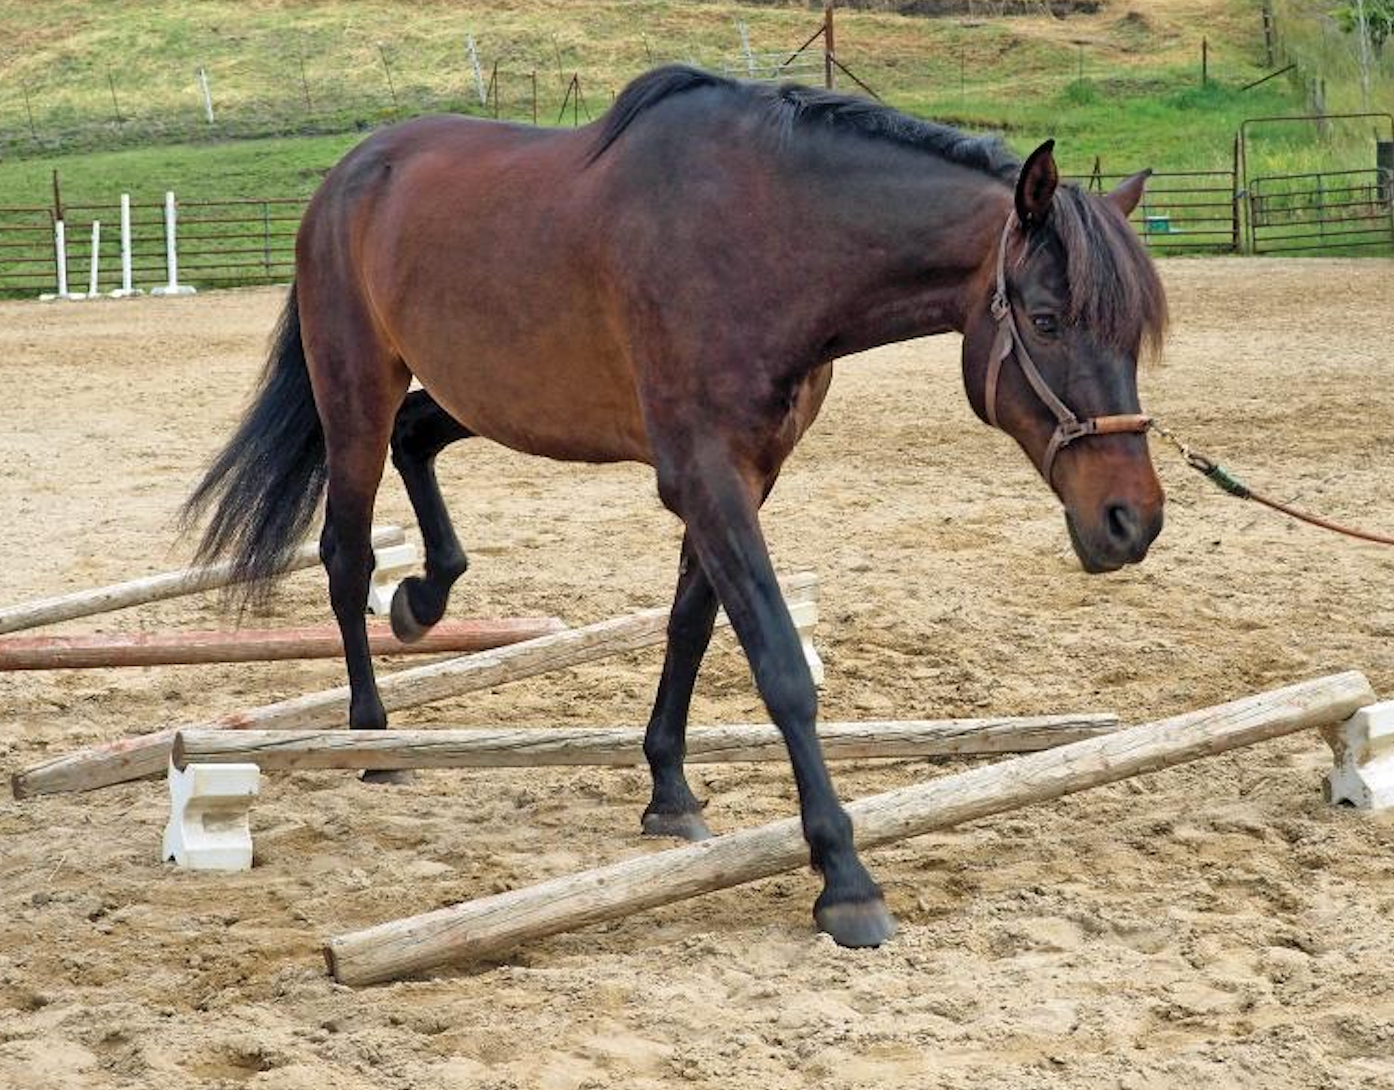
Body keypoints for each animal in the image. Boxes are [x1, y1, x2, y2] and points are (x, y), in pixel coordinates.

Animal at [183, 65, 1167, 948]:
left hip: (478, 393)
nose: (1132, 520)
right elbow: (778, 663)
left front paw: (668, 792)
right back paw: (376, 739)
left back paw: (426, 598)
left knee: (418, 442)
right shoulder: (706, 474)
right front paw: (844, 880)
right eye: (1045, 319)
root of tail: (347, 175)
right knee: (347, 557)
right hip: (353, 390)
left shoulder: (739, 476)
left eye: (1133, 333)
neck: (764, 241)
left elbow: (692, 626)